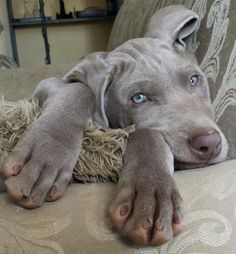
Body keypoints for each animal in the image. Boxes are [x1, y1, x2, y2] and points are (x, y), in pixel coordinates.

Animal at [0, 5, 229, 246]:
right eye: (138, 98)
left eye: (194, 80)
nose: (209, 143)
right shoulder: (48, 84)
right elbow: (82, 89)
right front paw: (45, 154)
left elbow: (148, 134)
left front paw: (150, 194)